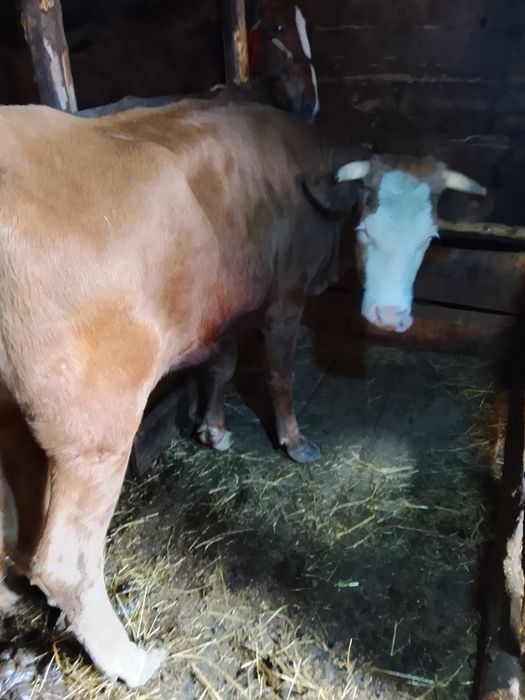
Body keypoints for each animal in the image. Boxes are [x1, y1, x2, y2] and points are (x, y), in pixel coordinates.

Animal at [0, 98, 485, 686]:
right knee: (66, 561)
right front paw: (294, 442)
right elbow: (279, 374)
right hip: (95, 429)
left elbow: (223, 366)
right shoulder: (284, 298)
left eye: (429, 238)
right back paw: (129, 661)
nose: (389, 318)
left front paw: (213, 429)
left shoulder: (227, 307)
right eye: (366, 230)